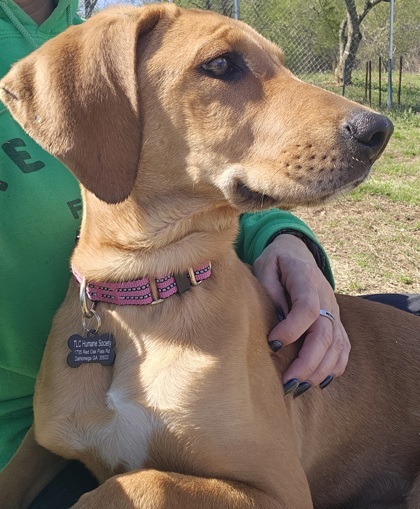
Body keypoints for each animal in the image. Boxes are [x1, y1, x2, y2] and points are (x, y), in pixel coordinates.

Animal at [0, 3, 420, 508]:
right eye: (220, 64)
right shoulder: (41, 442)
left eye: (282, 64)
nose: (378, 130)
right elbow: (14, 475)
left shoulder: (280, 489)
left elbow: (139, 481)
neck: (146, 292)